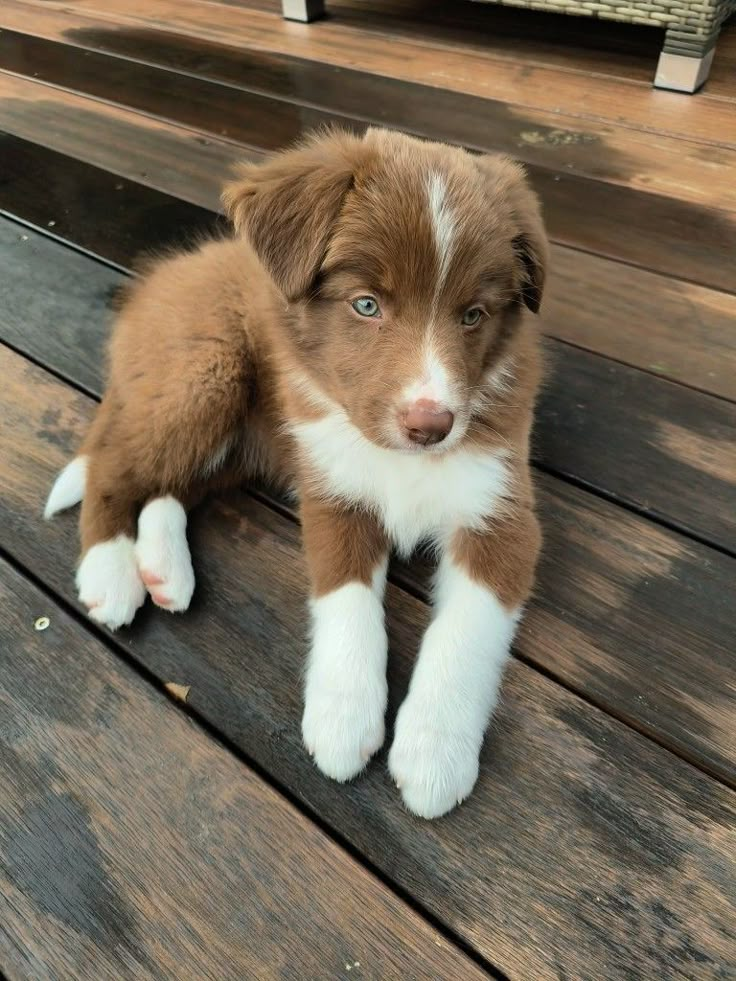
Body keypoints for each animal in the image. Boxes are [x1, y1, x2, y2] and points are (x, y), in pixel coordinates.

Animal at [46, 130, 548, 820]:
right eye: (366, 305)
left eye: (474, 316)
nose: (431, 425)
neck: (399, 458)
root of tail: (167, 274)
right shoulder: (335, 493)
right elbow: (347, 603)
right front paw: (343, 718)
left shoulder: (499, 513)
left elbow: (466, 633)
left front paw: (434, 752)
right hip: (203, 374)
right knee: (113, 467)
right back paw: (110, 574)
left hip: (244, 435)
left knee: (172, 487)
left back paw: (165, 570)